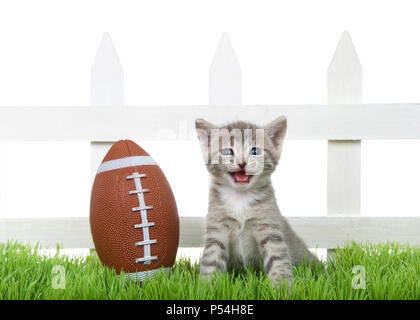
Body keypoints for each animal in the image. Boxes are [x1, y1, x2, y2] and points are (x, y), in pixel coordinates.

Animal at [195, 115, 316, 284]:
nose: (242, 163)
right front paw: (207, 287)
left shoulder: (270, 228)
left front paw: (282, 287)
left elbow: (278, 260)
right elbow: (211, 262)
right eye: (227, 151)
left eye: (255, 151)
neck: (240, 198)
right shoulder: (217, 229)